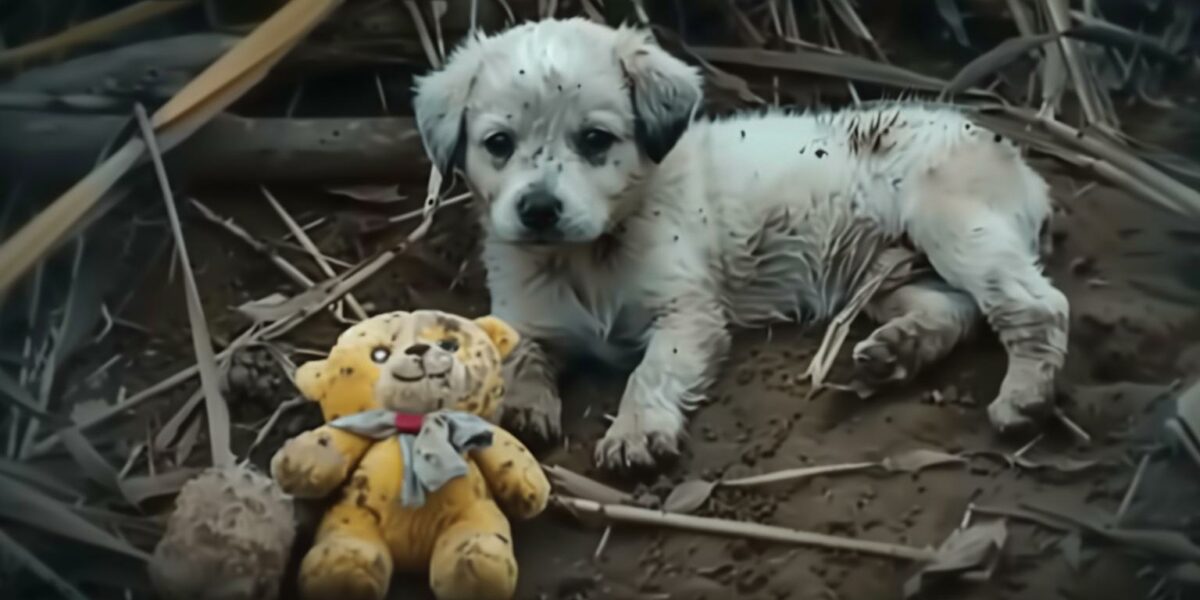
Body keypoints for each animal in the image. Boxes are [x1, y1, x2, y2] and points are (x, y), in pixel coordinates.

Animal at [412, 17, 1070, 468]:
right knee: (954, 310)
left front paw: (635, 431)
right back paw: (897, 350)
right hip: (882, 272)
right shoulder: (522, 315)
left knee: (1036, 305)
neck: (586, 257)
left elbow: (649, 371)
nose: (539, 210)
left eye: (595, 140)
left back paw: (1023, 397)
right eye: (498, 144)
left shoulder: (688, 313)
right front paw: (524, 407)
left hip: (954, 224)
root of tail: (1018, 158)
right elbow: (518, 354)